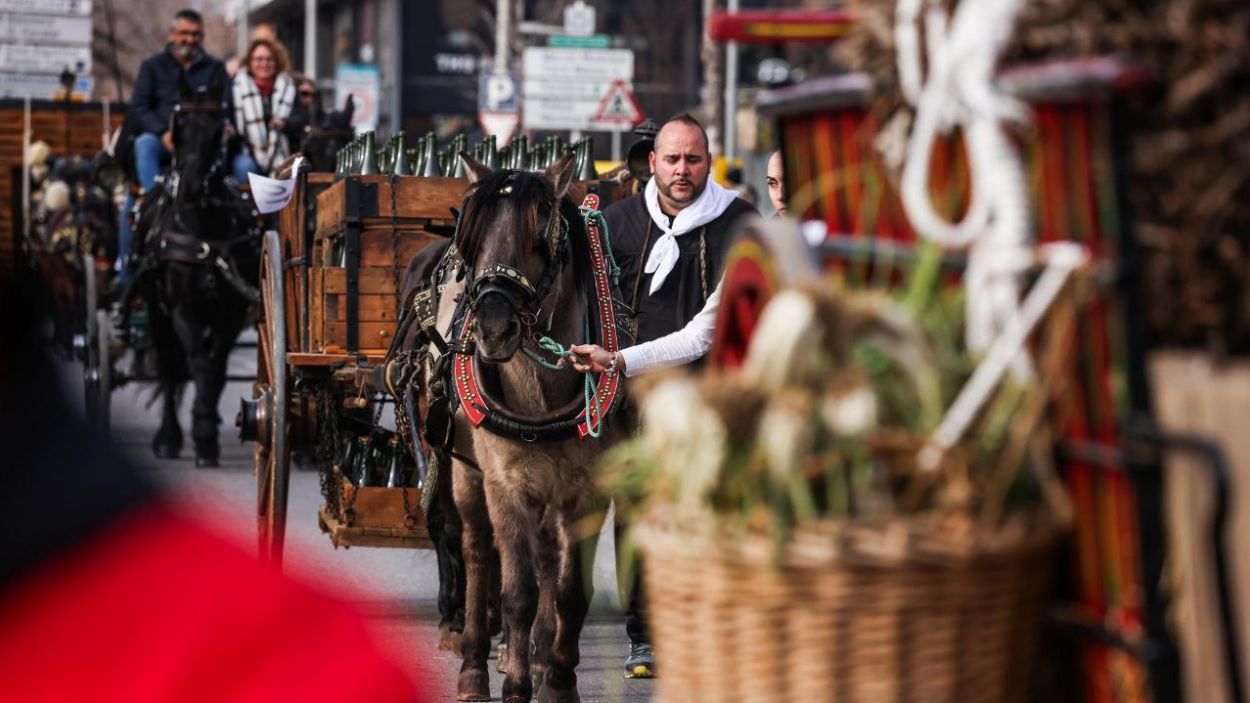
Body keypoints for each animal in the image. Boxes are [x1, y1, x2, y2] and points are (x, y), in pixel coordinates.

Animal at [130, 75, 260, 465]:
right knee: (169, 365)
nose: (189, 185)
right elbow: (197, 365)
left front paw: (206, 433)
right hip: (156, 310)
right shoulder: (181, 311)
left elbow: (214, 372)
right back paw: (168, 437)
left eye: (219, 129)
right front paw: (199, 435)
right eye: (181, 125)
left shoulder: (229, 315)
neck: (204, 233)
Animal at [410, 154, 625, 700]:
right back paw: (474, 663)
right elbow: (517, 592)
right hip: (466, 472)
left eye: (541, 234)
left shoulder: (588, 488)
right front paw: (514, 685)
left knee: (546, 556)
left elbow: (571, 590)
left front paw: (559, 679)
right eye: (472, 239)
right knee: (476, 551)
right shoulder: (506, 484)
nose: (492, 328)